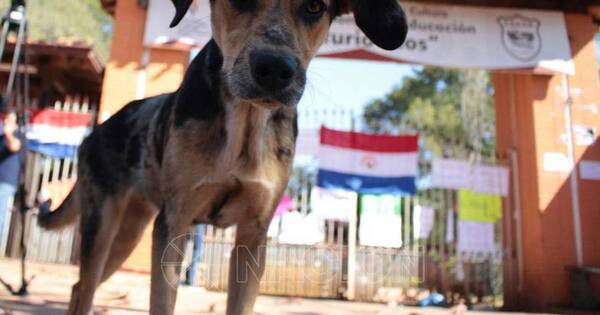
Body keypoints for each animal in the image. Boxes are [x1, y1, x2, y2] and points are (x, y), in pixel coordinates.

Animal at [37, 0, 408, 315]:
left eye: (315, 6)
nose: (275, 69)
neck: (244, 126)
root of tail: (94, 133)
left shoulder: (253, 237)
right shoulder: (174, 225)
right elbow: (162, 302)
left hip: (129, 233)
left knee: (79, 287)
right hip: (102, 223)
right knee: (84, 287)